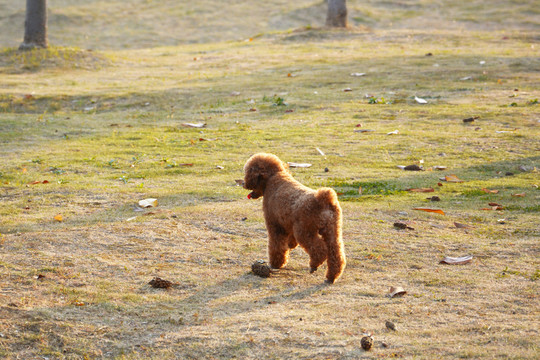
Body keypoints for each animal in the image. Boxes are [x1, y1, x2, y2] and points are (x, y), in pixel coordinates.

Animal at [244, 153, 346, 284]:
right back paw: (331, 276)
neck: (274, 177)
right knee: (336, 254)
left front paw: (276, 264)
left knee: (320, 250)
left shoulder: (275, 225)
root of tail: (323, 199)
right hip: (332, 231)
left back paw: (314, 265)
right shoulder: (288, 224)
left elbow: (277, 246)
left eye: (248, 172)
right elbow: (289, 242)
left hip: (304, 231)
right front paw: (290, 245)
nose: (244, 183)